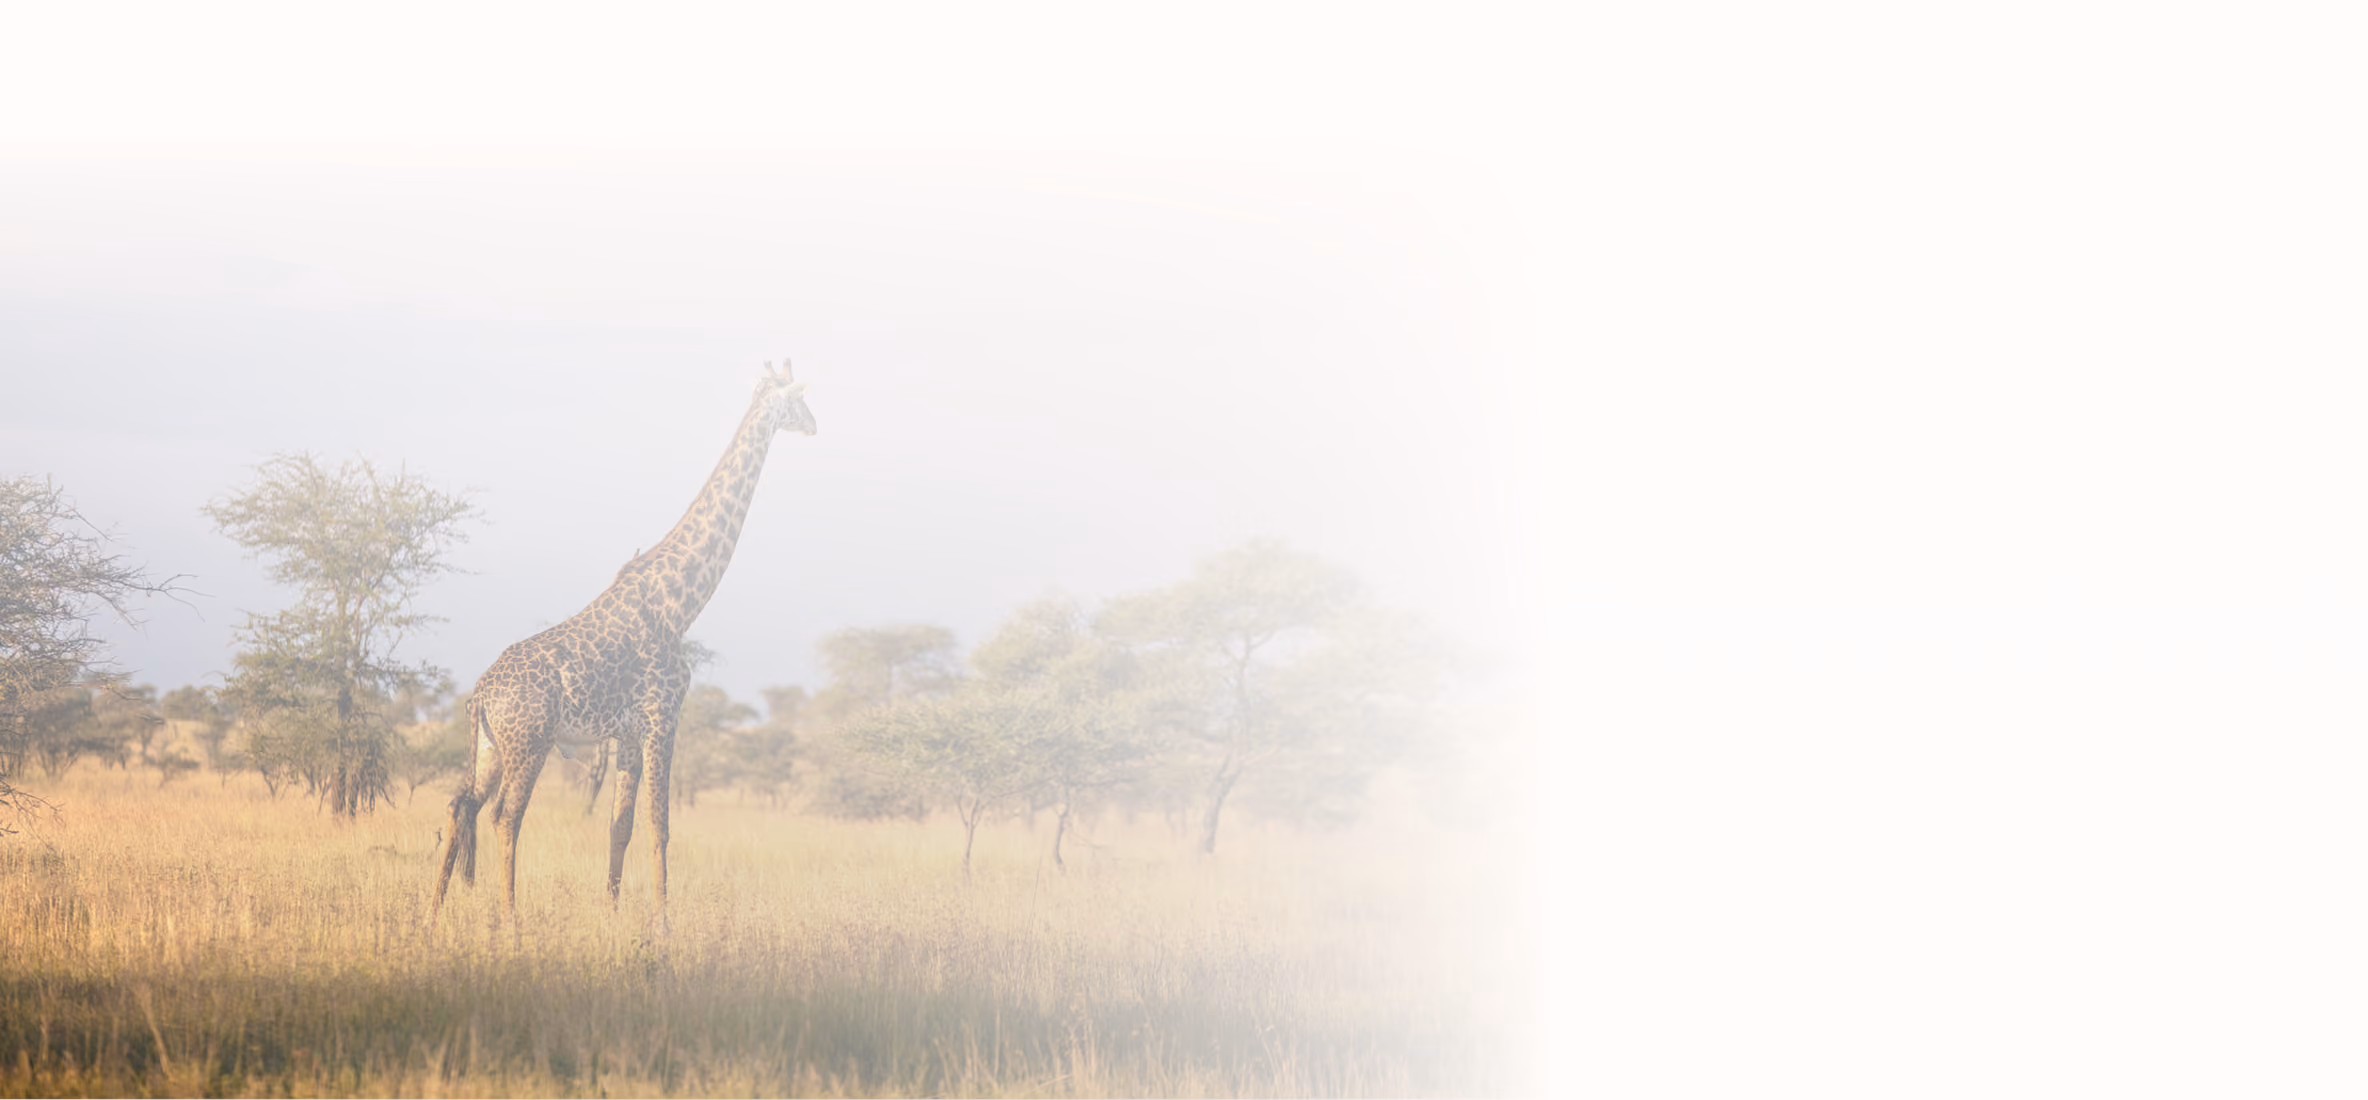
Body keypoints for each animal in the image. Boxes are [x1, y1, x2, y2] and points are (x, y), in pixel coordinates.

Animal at [430, 362, 816, 925]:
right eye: (801, 399)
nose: (815, 425)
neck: (681, 602)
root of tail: (480, 693)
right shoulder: (663, 718)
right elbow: (661, 826)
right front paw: (663, 923)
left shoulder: (629, 735)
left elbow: (620, 826)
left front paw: (612, 914)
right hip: (530, 744)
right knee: (505, 816)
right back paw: (511, 920)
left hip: (488, 747)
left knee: (460, 805)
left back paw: (431, 914)